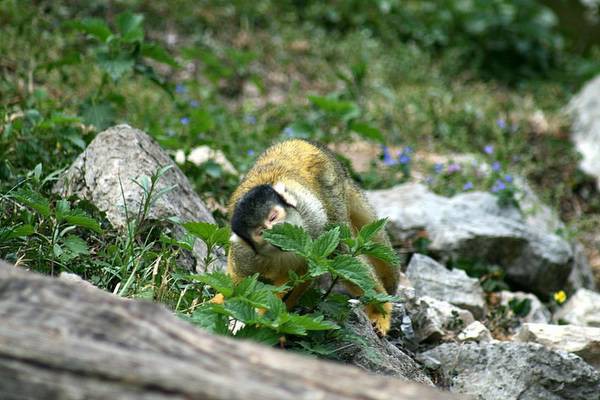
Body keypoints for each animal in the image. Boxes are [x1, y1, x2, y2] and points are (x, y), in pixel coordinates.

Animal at [225, 139, 398, 336]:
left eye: (273, 217)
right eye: (261, 231)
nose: (275, 229)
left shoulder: (313, 220)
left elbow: (330, 261)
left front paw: (380, 310)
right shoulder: (245, 254)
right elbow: (239, 281)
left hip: (331, 186)